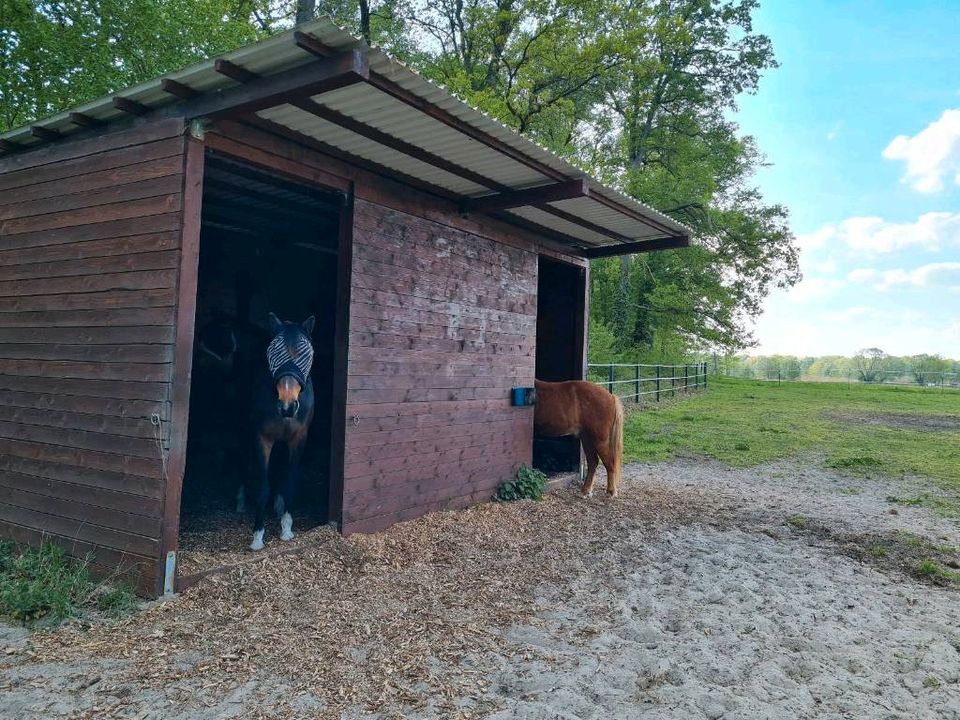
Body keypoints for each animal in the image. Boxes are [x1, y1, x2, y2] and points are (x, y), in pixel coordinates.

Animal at [244, 310, 316, 552]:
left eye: (306, 353)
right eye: (273, 352)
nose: (287, 405)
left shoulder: (298, 439)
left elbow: (290, 479)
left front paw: (286, 527)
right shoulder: (262, 438)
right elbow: (263, 484)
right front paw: (258, 535)